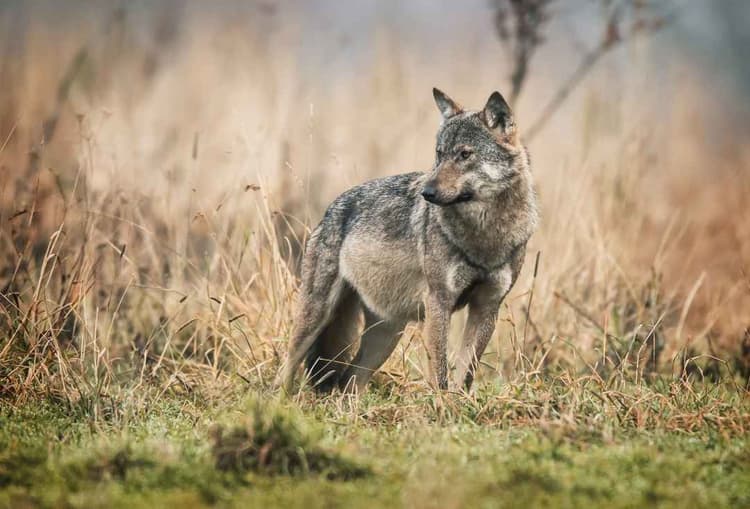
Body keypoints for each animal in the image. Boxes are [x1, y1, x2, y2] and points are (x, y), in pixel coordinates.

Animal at [278, 88, 538, 393]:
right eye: (439, 154)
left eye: (464, 154)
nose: (427, 192)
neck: (485, 236)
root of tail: (331, 209)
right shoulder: (439, 302)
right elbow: (440, 374)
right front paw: (442, 404)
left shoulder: (487, 306)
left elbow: (466, 374)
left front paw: (460, 402)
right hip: (317, 316)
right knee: (287, 368)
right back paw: (278, 398)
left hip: (385, 336)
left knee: (349, 381)